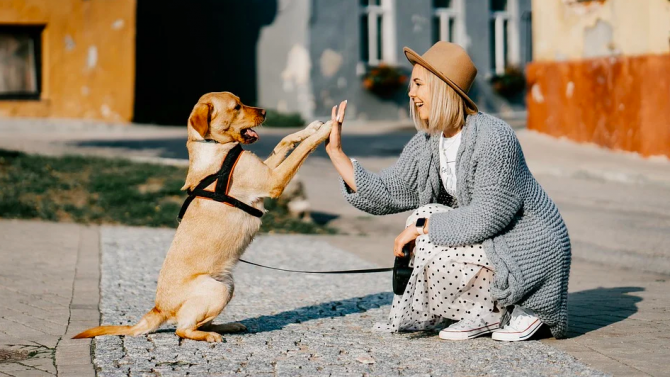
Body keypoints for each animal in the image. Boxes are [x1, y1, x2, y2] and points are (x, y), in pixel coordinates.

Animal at [73, 92, 334, 340]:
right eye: (236, 107)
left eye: (241, 102)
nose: (265, 112)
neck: (214, 146)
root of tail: (158, 308)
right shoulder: (273, 180)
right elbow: (302, 149)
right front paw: (327, 129)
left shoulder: (267, 170)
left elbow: (284, 141)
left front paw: (311, 128)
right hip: (217, 290)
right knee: (182, 329)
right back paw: (209, 335)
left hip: (227, 285)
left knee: (199, 322)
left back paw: (227, 326)